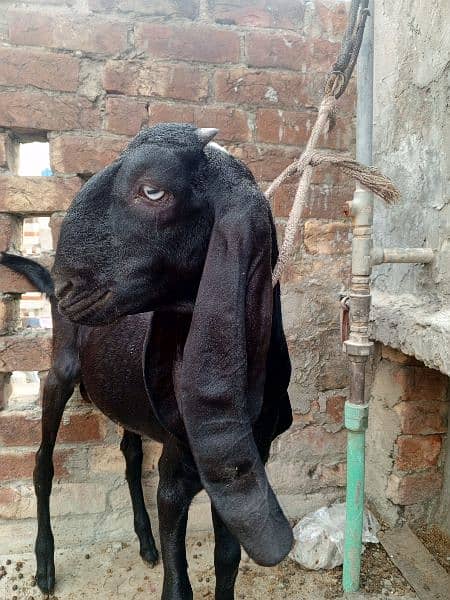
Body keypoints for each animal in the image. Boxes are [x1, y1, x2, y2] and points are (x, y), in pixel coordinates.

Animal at [1, 123, 294, 600]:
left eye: (152, 190)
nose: (66, 288)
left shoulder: (240, 471)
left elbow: (228, 560)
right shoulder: (176, 477)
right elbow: (178, 586)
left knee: (130, 453)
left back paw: (144, 539)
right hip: (61, 372)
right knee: (43, 464)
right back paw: (45, 564)